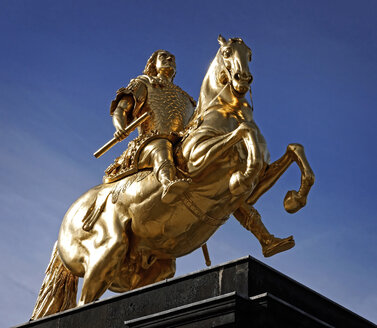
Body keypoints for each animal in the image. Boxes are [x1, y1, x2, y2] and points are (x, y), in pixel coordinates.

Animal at [30, 36, 312, 320]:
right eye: (227, 52)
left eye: (250, 54)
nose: (242, 78)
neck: (225, 113)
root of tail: (66, 222)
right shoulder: (197, 159)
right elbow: (246, 132)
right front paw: (241, 178)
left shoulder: (256, 187)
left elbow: (293, 150)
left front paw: (293, 201)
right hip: (106, 253)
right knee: (84, 303)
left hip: (148, 268)